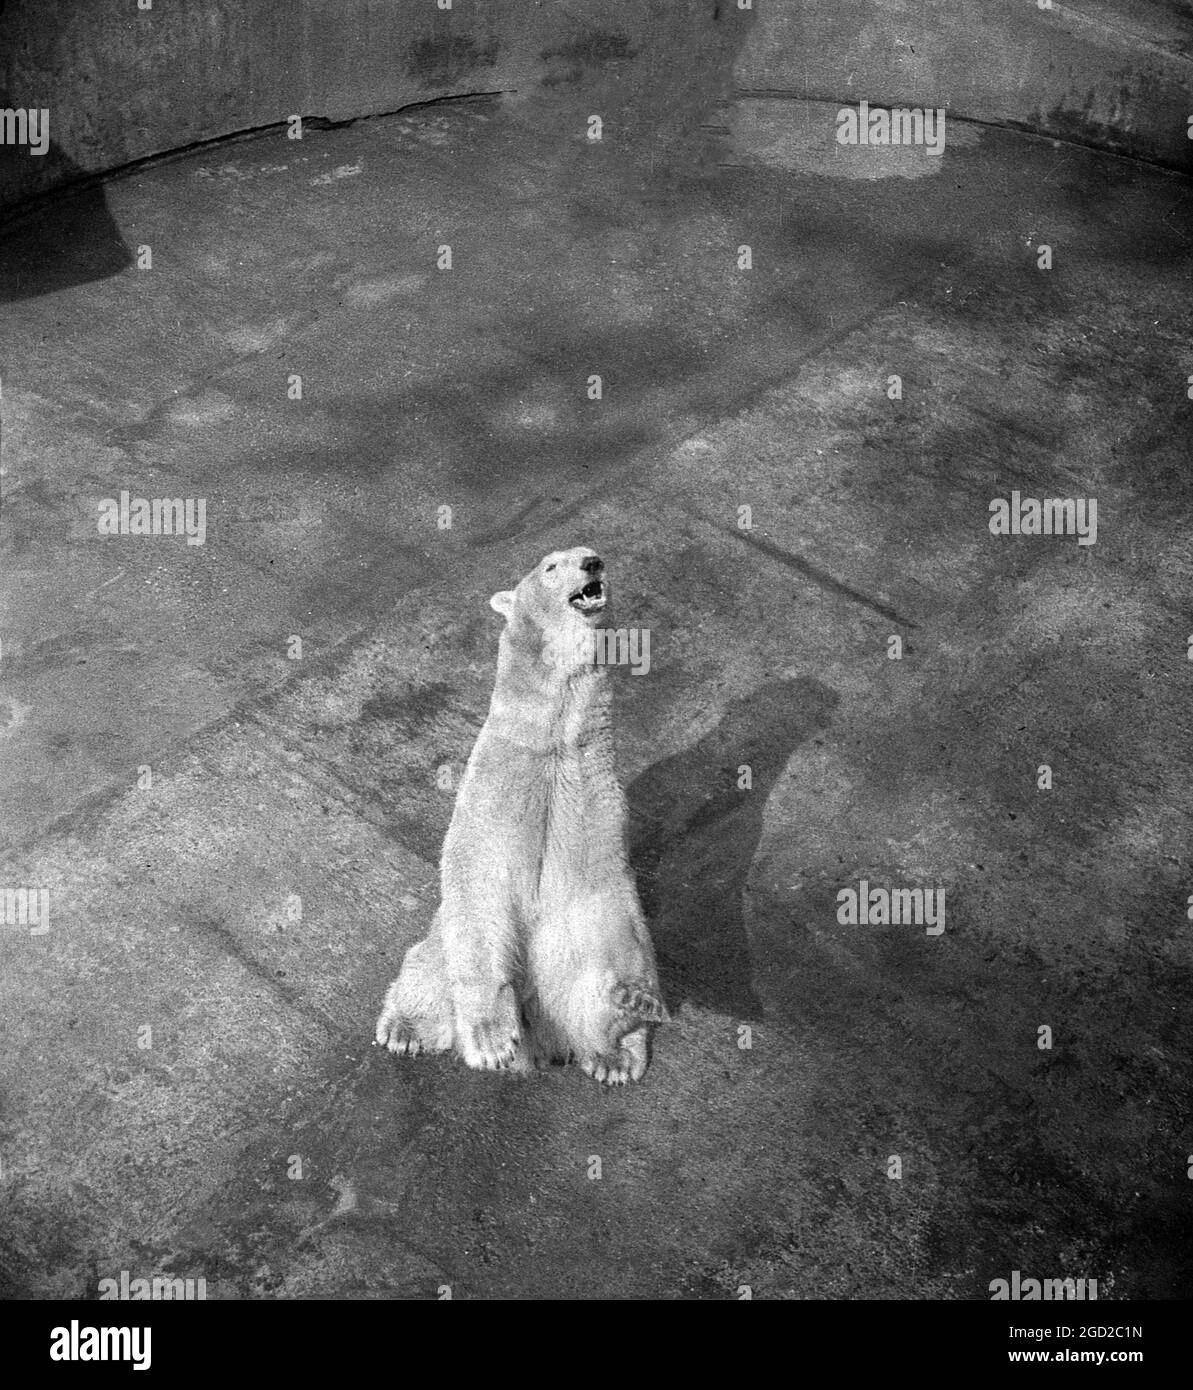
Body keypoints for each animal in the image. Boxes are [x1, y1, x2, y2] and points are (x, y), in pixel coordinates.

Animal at [375, 544, 664, 1084]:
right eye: (551, 565)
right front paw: (491, 1042)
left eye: (588, 552)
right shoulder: (495, 798)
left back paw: (617, 1054)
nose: (592, 562)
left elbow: (612, 904)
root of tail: (544, 1039)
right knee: (428, 966)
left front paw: (639, 999)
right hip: (436, 950)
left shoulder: (595, 805)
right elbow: (480, 890)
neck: (550, 746)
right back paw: (403, 1029)